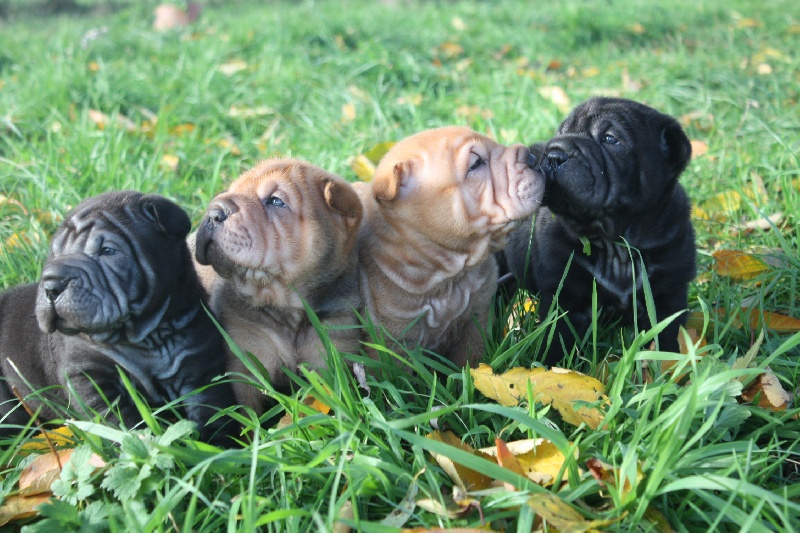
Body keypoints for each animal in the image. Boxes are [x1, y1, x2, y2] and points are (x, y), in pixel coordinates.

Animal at [0, 191, 236, 444]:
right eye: (54, 253)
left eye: (108, 251)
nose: (52, 284)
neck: (144, 336)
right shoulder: (89, 377)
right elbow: (117, 422)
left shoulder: (199, 363)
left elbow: (212, 410)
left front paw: (220, 444)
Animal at [504, 97, 696, 364]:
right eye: (561, 132)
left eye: (610, 139)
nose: (554, 154)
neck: (615, 242)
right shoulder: (565, 296)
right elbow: (557, 339)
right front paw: (550, 369)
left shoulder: (669, 294)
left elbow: (666, 337)